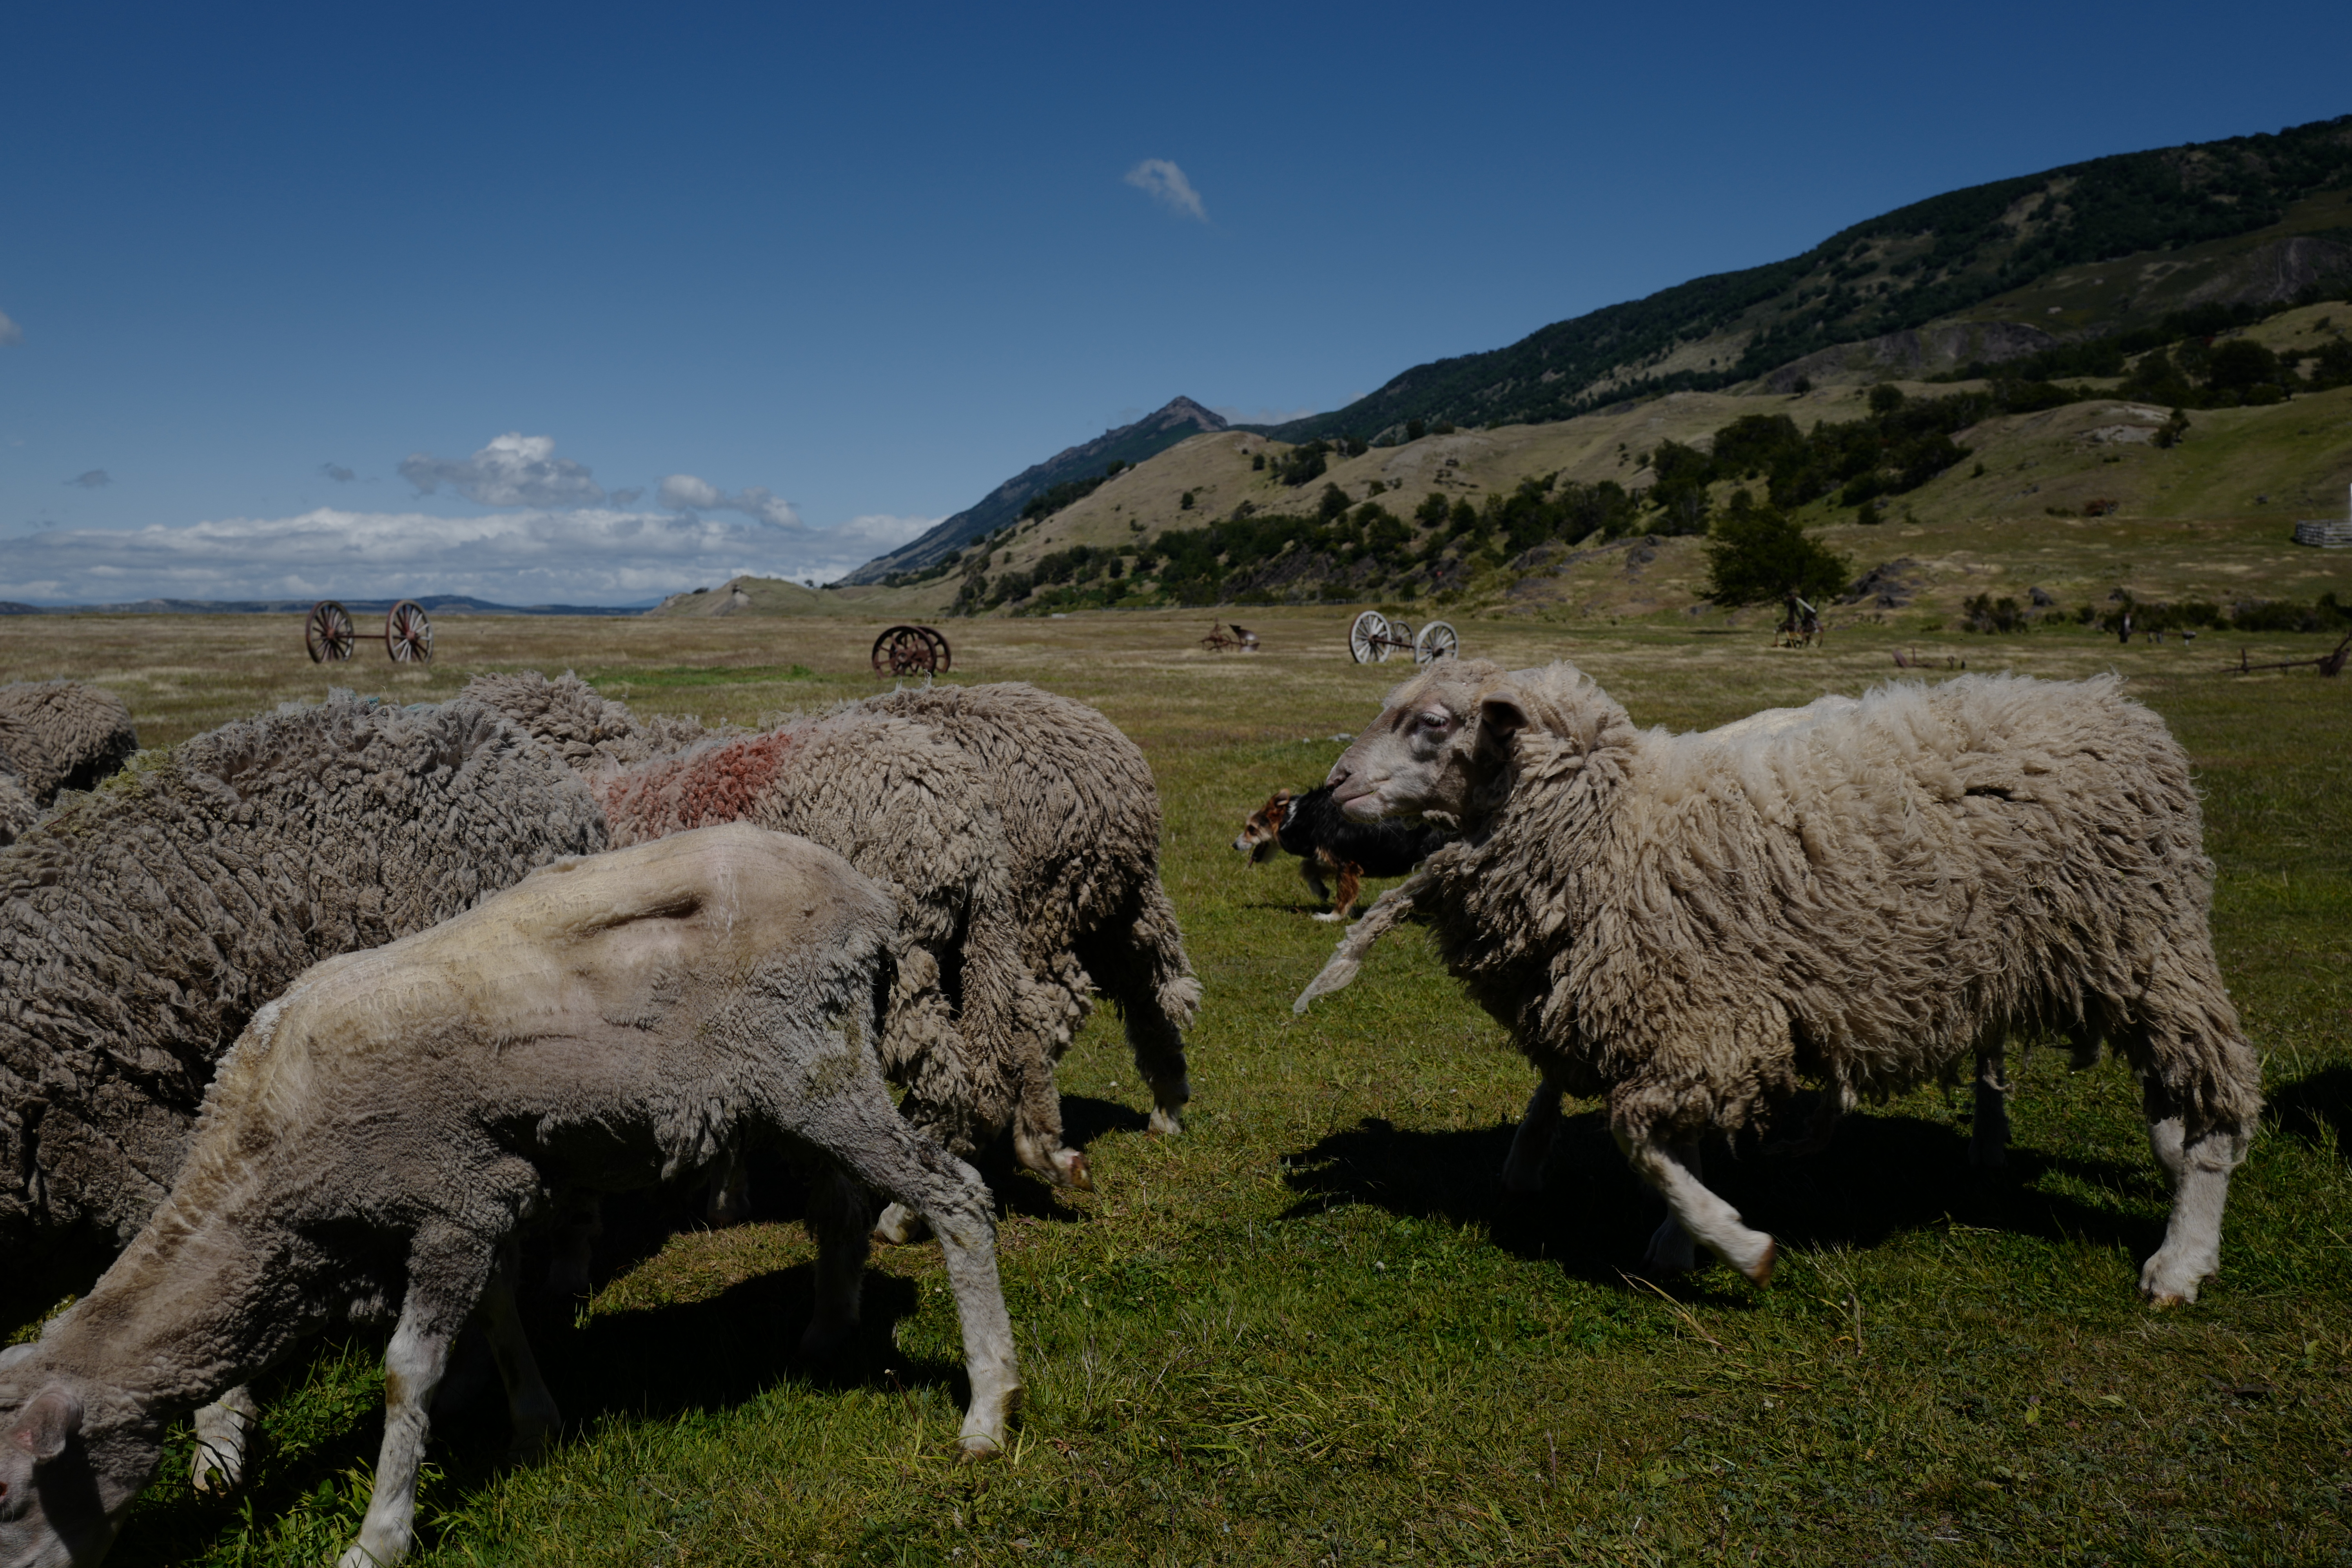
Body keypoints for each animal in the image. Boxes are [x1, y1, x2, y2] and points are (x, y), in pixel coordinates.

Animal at [0, 824, 1023, 1568]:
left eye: (13, 1495)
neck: (262, 1173)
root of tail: (868, 896)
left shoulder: (446, 1198)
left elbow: (405, 1369)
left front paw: (378, 1536)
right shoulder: (479, 1192)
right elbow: (496, 1312)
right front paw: (535, 1424)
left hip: (815, 1065)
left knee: (955, 1194)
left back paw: (987, 1408)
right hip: (806, 1079)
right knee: (842, 1204)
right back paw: (826, 1330)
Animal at [1307, 660, 2260, 1305]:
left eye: (1434, 722)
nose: (1331, 789)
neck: (1618, 824)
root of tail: (2116, 704)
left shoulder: (1711, 1015)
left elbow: (1638, 1134)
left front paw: (1734, 1242)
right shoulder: (1681, 1014)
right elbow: (1667, 1138)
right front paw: (1680, 1237)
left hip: (2148, 943)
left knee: (2215, 1104)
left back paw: (2182, 1254)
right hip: (2035, 951)